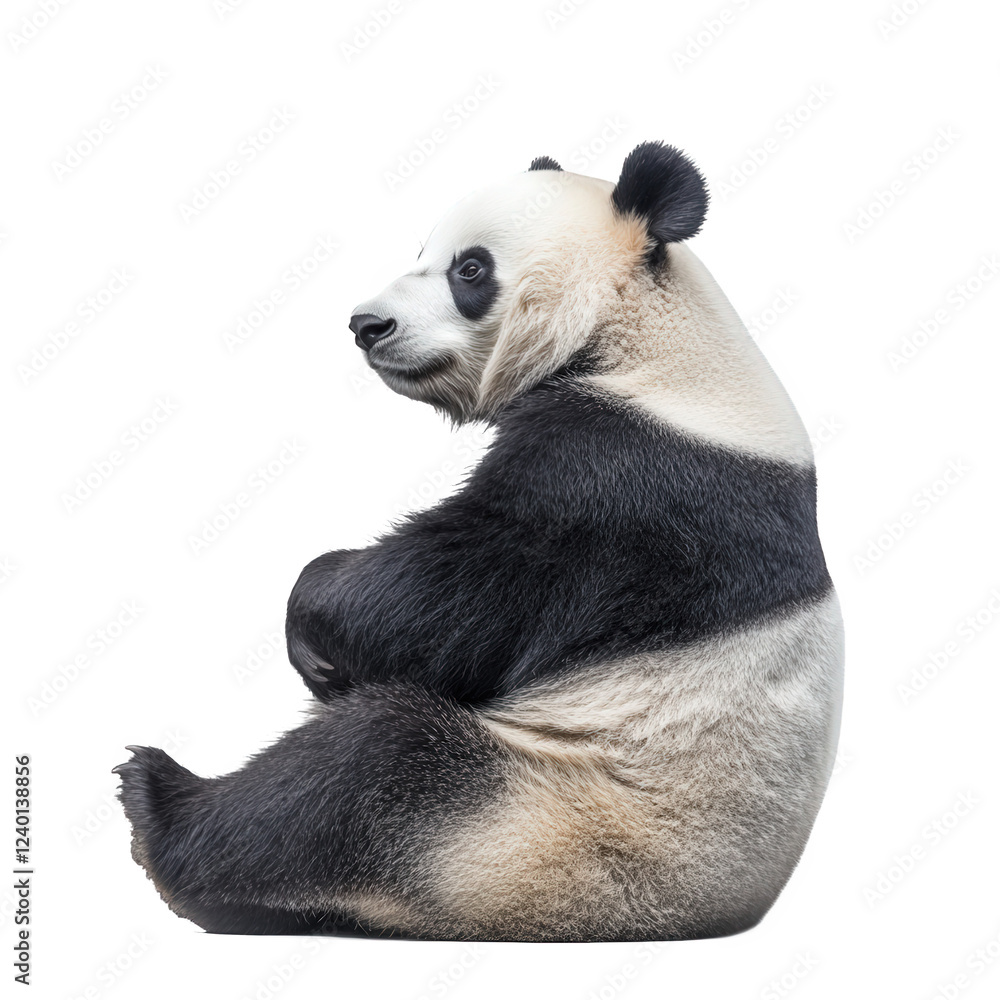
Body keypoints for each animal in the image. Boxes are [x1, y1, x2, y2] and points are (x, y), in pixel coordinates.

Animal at [116, 141, 844, 942]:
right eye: (422, 252)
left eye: (470, 270)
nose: (366, 324)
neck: (647, 335)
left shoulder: (626, 484)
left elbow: (458, 588)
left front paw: (313, 608)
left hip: (550, 826)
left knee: (367, 770)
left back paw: (159, 812)